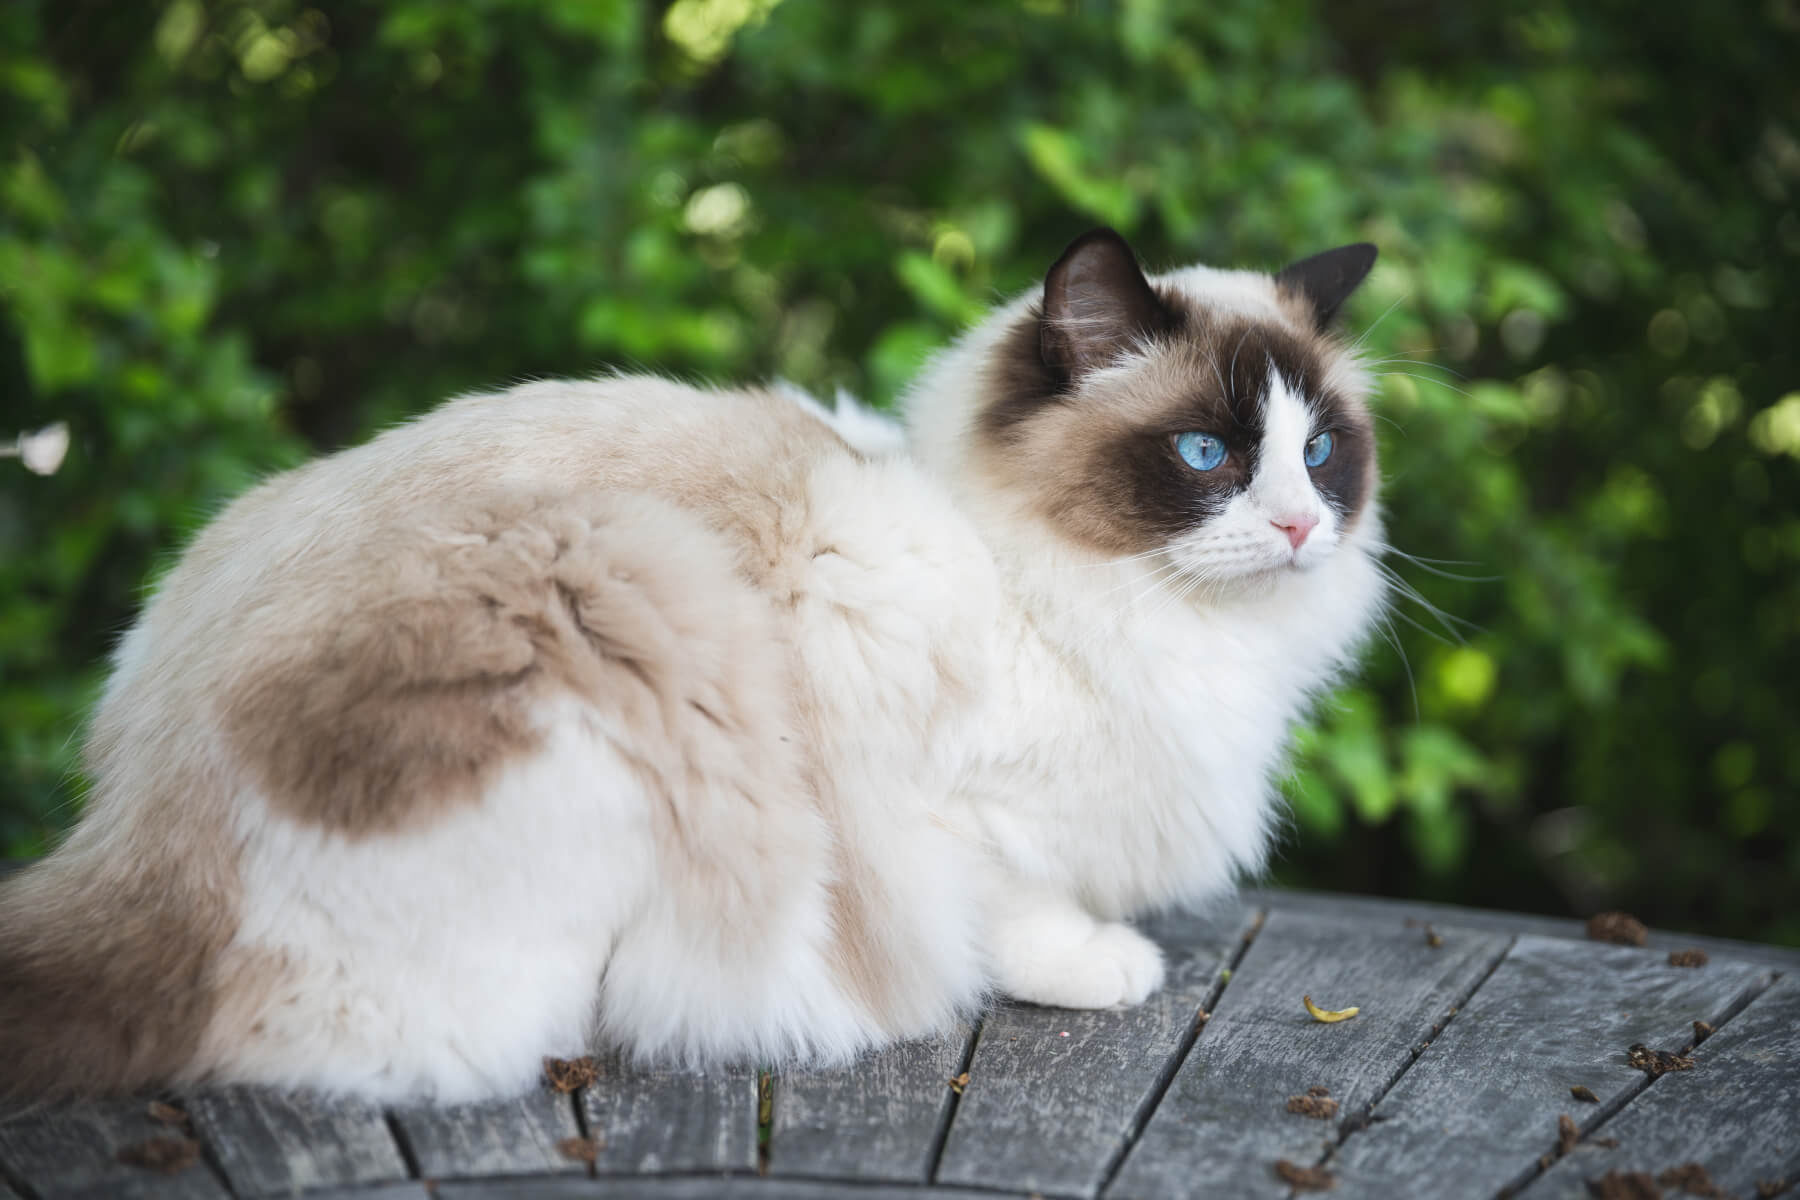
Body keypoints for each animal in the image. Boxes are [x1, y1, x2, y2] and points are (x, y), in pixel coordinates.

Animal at [0, 227, 1389, 1108]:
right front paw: (1108, 966)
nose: (1299, 527)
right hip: (626, 593)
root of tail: (134, 829)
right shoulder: (947, 798)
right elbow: (1014, 912)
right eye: (1207, 454)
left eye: (1319, 452)